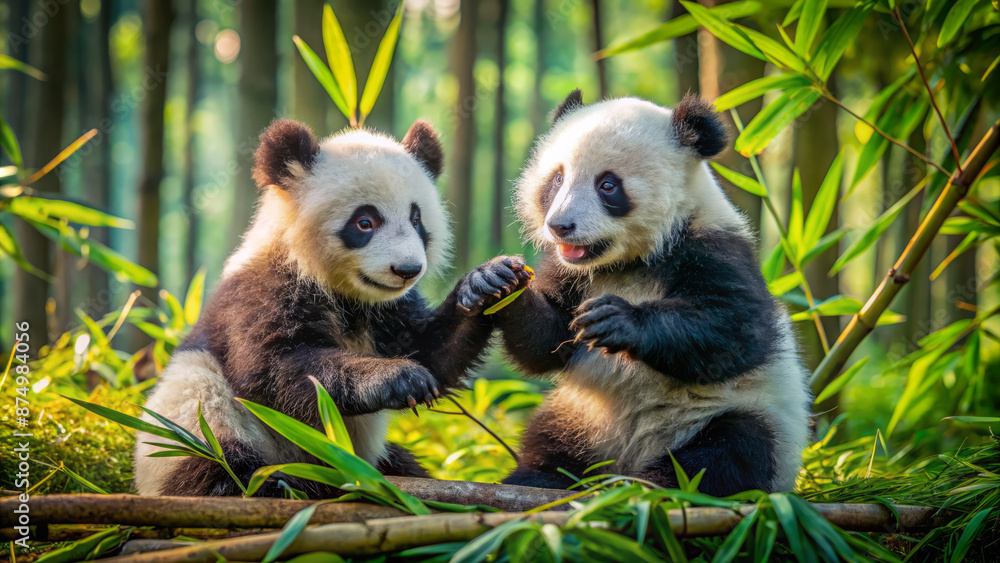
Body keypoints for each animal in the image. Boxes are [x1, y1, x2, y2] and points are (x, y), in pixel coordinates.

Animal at [134, 119, 531, 497]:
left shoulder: (390, 309)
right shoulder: (259, 295)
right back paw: (271, 484)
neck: (343, 293)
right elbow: (276, 371)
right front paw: (400, 377)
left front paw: (488, 281)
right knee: (213, 456)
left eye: (416, 219)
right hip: (193, 420)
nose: (407, 270)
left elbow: (432, 351)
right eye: (365, 222)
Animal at [494, 91, 811, 496]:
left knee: (728, 451)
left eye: (608, 185)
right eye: (557, 179)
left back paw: (651, 486)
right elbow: (545, 341)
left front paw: (617, 321)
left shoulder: (714, 247)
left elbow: (737, 333)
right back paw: (543, 477)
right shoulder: (572, 274)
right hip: (579, 414)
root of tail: (623, 460)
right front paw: (497, 283)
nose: (560, 226)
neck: (628, 262)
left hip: (743, 418)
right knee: (549, 441)